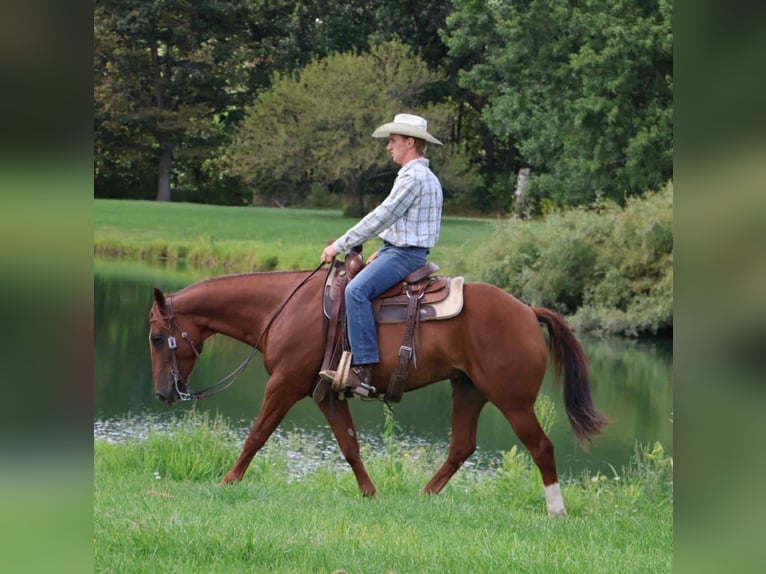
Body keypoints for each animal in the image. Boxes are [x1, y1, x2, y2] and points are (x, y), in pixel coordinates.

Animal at [148, 266, 607, 516]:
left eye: (155, 337)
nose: (163, 393)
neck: (283, 308)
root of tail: (528, 311)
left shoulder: (284, 384)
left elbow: (256, 435)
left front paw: (227, 481)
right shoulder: (327, 394)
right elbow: (350, 445)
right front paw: (371, 494)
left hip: (514, 401)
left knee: (541, 447)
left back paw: (556, 510)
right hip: (468, 390)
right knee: (462, 446)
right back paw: (424, 496)